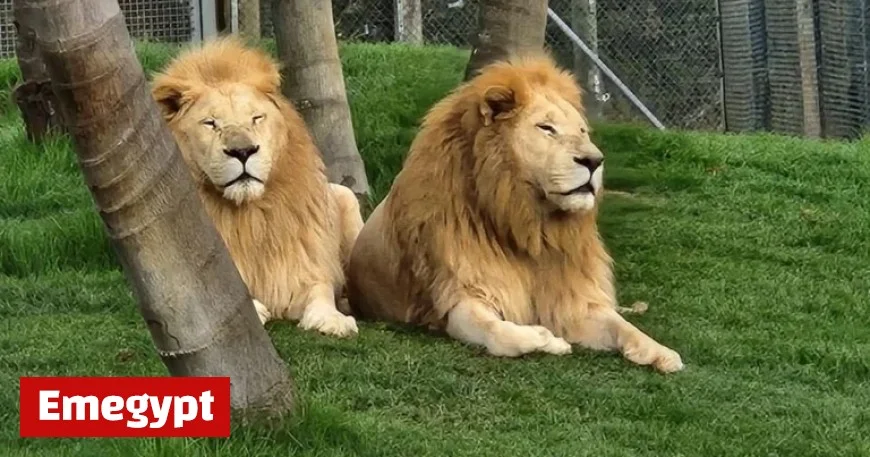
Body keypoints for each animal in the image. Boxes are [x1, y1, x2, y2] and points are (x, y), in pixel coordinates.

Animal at [151, 38, 363, 338]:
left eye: (256, 118)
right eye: (210, 123)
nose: (243, 151)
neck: (252, 216)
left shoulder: (305, 267)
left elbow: (321, 291)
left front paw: (332, 319)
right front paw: (256, 309)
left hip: (346, 197)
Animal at [346, 54, 684, 372]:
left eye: (582, 131)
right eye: (546, 128)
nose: (594, 161)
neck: (529, 225)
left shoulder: (572, 299)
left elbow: (620, 326)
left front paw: (662, 352)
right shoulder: (460, 294)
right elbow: (498, 331)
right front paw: (549, 339)